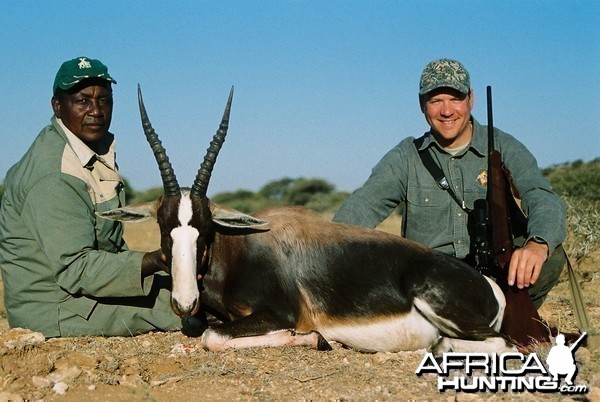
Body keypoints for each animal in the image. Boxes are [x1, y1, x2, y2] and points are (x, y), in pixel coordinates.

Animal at [99, 87, 516, 354]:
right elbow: (202, 329)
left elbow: (212, 337)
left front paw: (315, 338)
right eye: (164, 228)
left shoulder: (279, 312)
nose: (185, 302)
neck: (241, 249)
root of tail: (490, 286)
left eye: (204, 230)